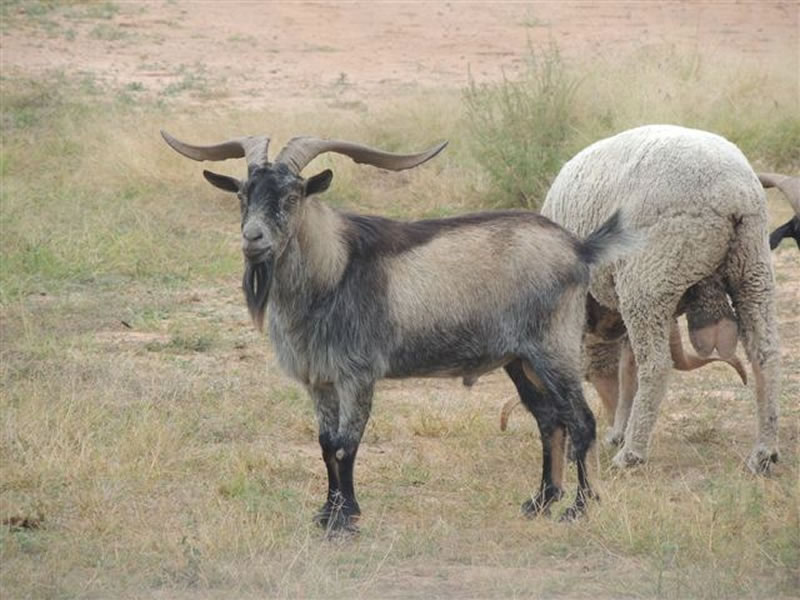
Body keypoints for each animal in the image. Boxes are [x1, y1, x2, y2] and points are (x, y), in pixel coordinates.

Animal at [162, 130, 632, 530]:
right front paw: (326, 512)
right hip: (520, 360)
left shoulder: (358, 373)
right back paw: (540, 501)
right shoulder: (320, 380)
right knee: (550, 420)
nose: (252, 238)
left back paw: (579, 507)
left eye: (292, 195)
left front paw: (345, 518)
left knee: (581, 420)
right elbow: (324, 443)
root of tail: (579, 248)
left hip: (554, 348)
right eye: (243, 193)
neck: (334, 271)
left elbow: (346, 444)